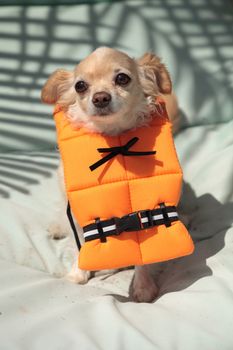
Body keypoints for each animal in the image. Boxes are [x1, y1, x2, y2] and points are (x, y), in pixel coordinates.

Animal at [41, 47, 179, 304]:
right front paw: (79, 272)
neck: (112, 138)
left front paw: (143, 287)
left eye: (122, 78)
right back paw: (57, 227)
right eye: (80, 86)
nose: (100, 97)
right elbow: (82, 241)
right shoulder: (79, 211)